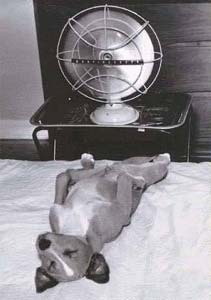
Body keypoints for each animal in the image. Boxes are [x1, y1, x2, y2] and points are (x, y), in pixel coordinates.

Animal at [34, 154, 170, 292]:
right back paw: (160, 160)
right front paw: (137, 181)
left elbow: (62, 178)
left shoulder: (55, 210)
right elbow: (124, 178)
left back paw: (89, 162)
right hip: (146, 169)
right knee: (154, 167)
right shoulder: (122, 211)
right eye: (51, 264)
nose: (43, 243)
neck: (78, 229)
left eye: (71, 252)